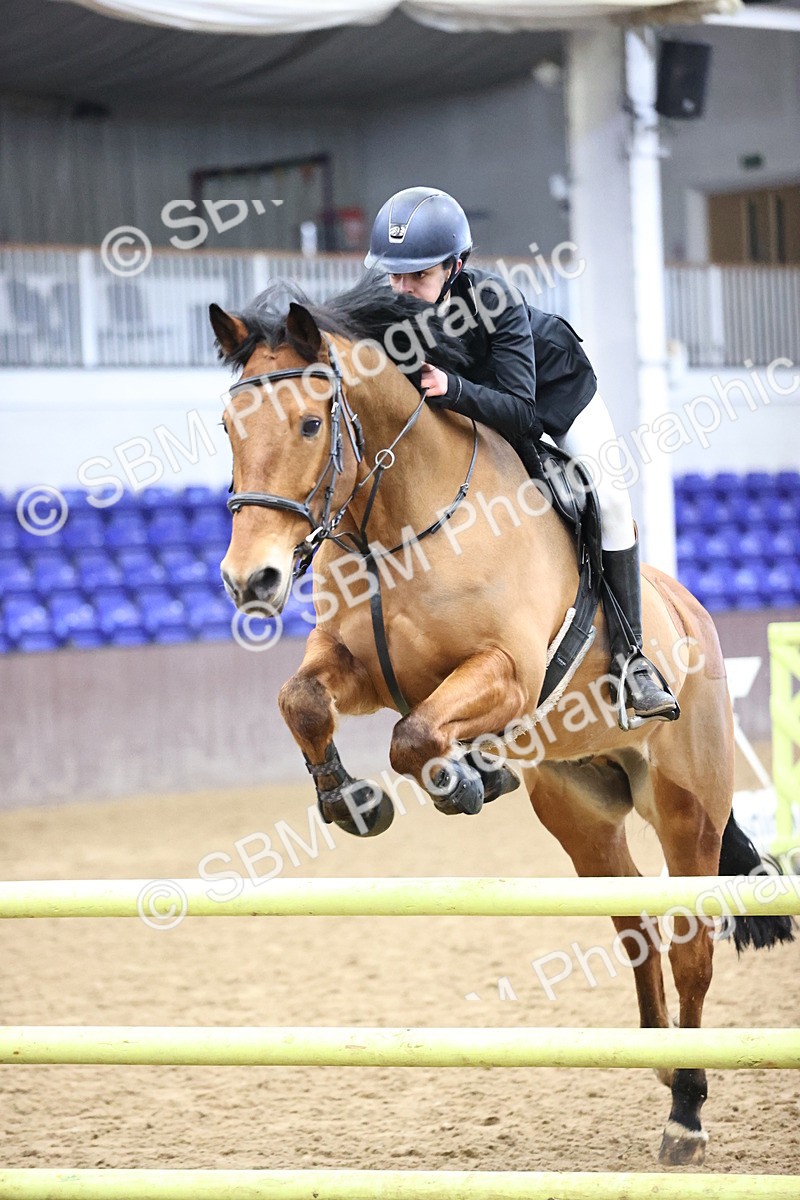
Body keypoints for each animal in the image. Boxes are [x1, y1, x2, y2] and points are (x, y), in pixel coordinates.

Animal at [209, 274, 793, 1168]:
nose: (252, 581)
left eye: (311, 423)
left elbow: (415, 737)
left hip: (688, 808)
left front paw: (457, 782)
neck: (399, 522)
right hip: (583, 812)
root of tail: (691, 613)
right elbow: (304, 701)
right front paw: (354, 801)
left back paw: (688, 1111)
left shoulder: (508, 674)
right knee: (635, 927)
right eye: (228, 427)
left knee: (693, 945)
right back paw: (662, 1064)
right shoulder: (358, 669)